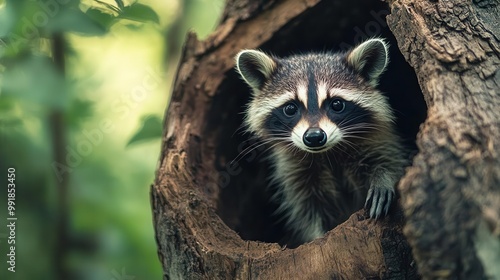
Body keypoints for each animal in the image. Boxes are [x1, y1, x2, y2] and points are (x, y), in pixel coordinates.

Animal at [235, 38, 406, 245]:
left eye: (337, 104)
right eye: (290, 108)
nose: (314, 137)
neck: (327, 153)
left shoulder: (377, 140)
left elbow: (390, 160)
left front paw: (383, 178)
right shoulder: (295, 172)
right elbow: (308, 211)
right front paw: (316, 236)